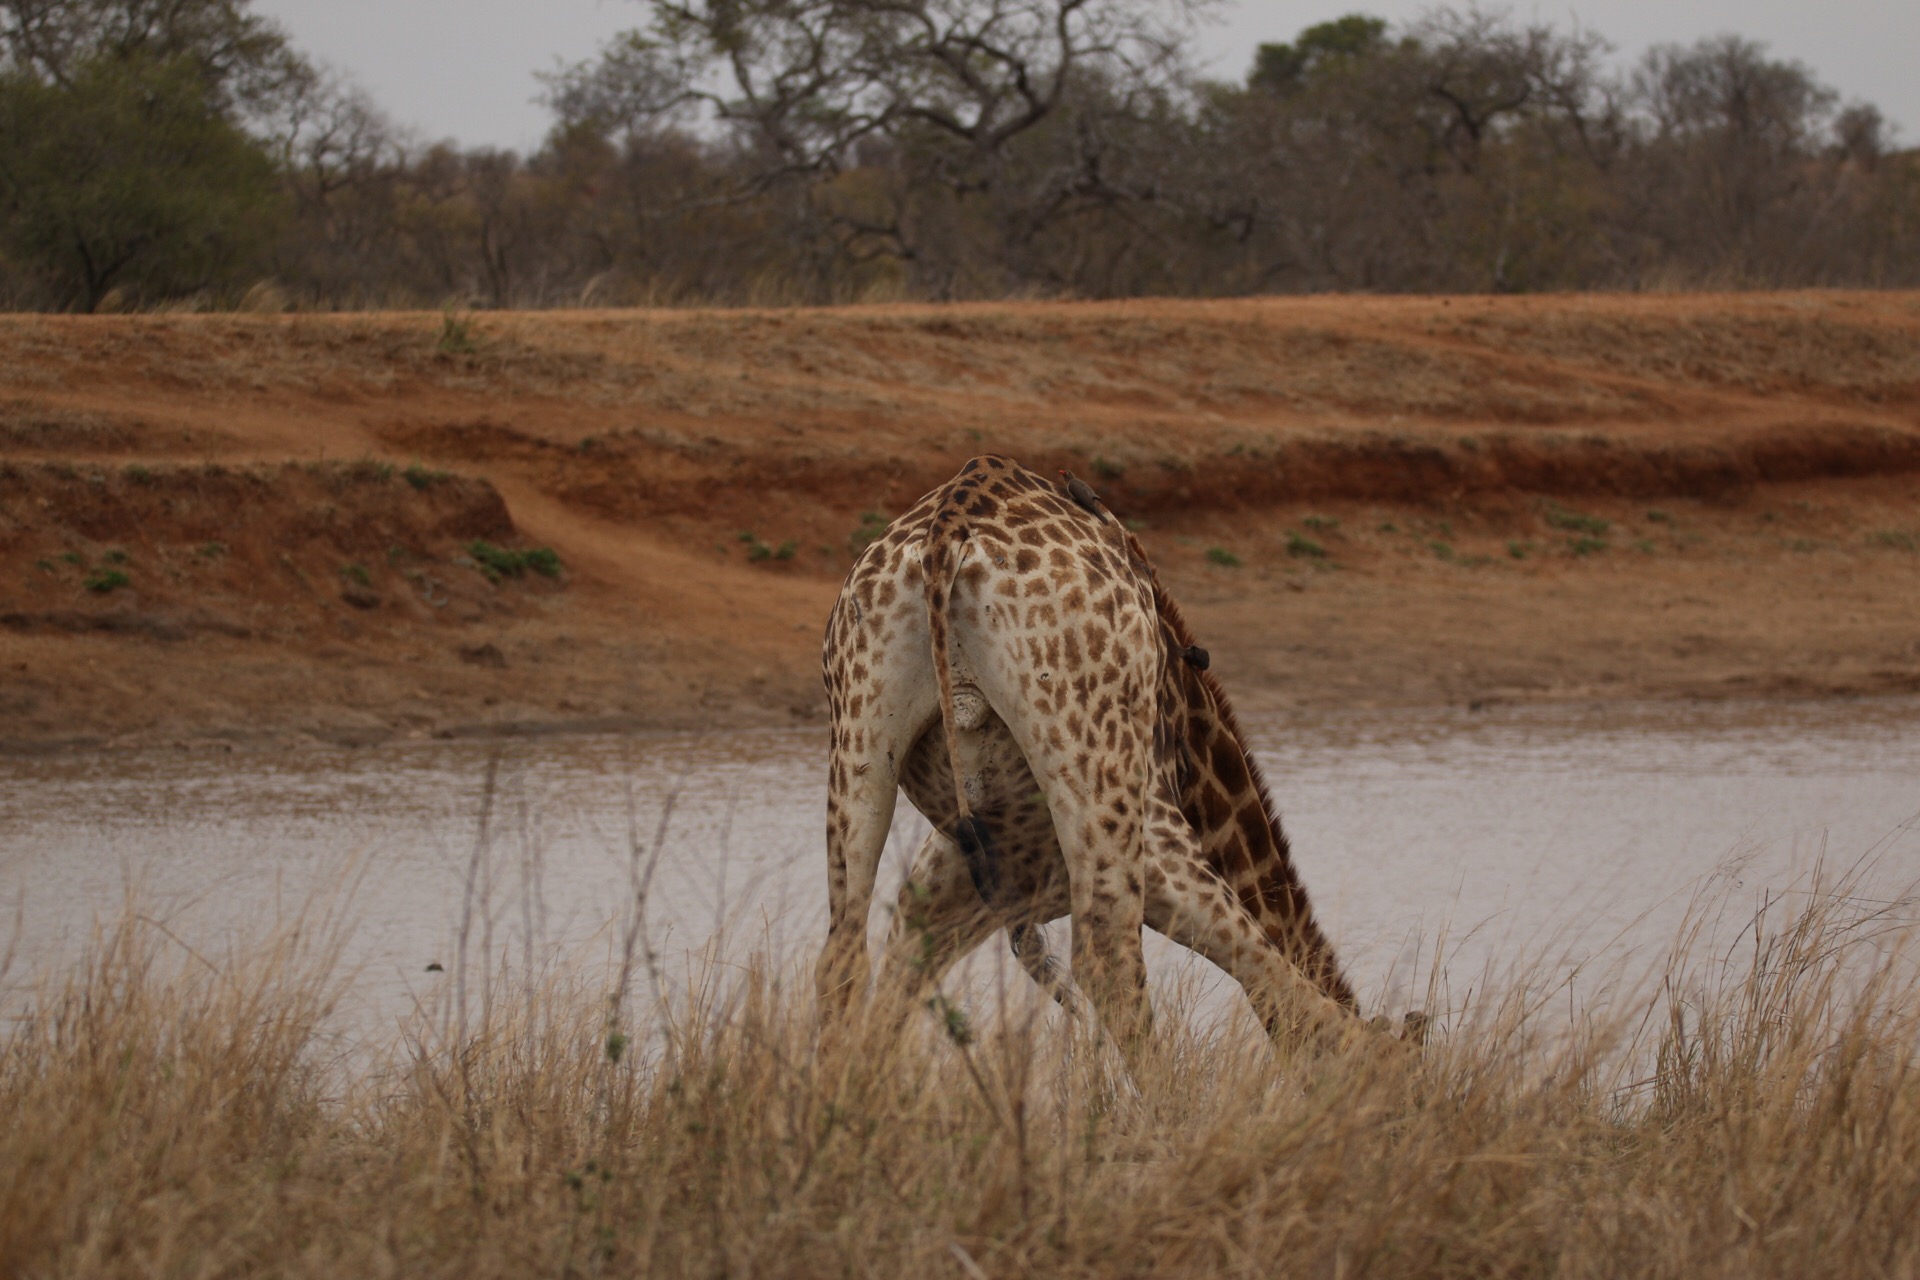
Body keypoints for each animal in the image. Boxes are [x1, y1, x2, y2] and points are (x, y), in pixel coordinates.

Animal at [817, 452, 1359, 1051]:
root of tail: (949, 525)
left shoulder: (958, 875)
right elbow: (1326, 1017)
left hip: (858, 724)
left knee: (841, 953)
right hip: (1103, 769)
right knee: (1112, 959)